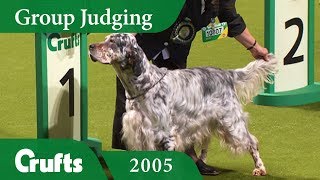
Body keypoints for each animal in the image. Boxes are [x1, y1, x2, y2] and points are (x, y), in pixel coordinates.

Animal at [89, 33, 278, 175]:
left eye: (112, 41)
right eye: (105, 39)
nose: (90, 46)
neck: (144, 85)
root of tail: (227, 74)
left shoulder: (166, 136)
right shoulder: (138, 132)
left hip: (231, 123)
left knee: (252, 142)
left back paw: (260, 168)